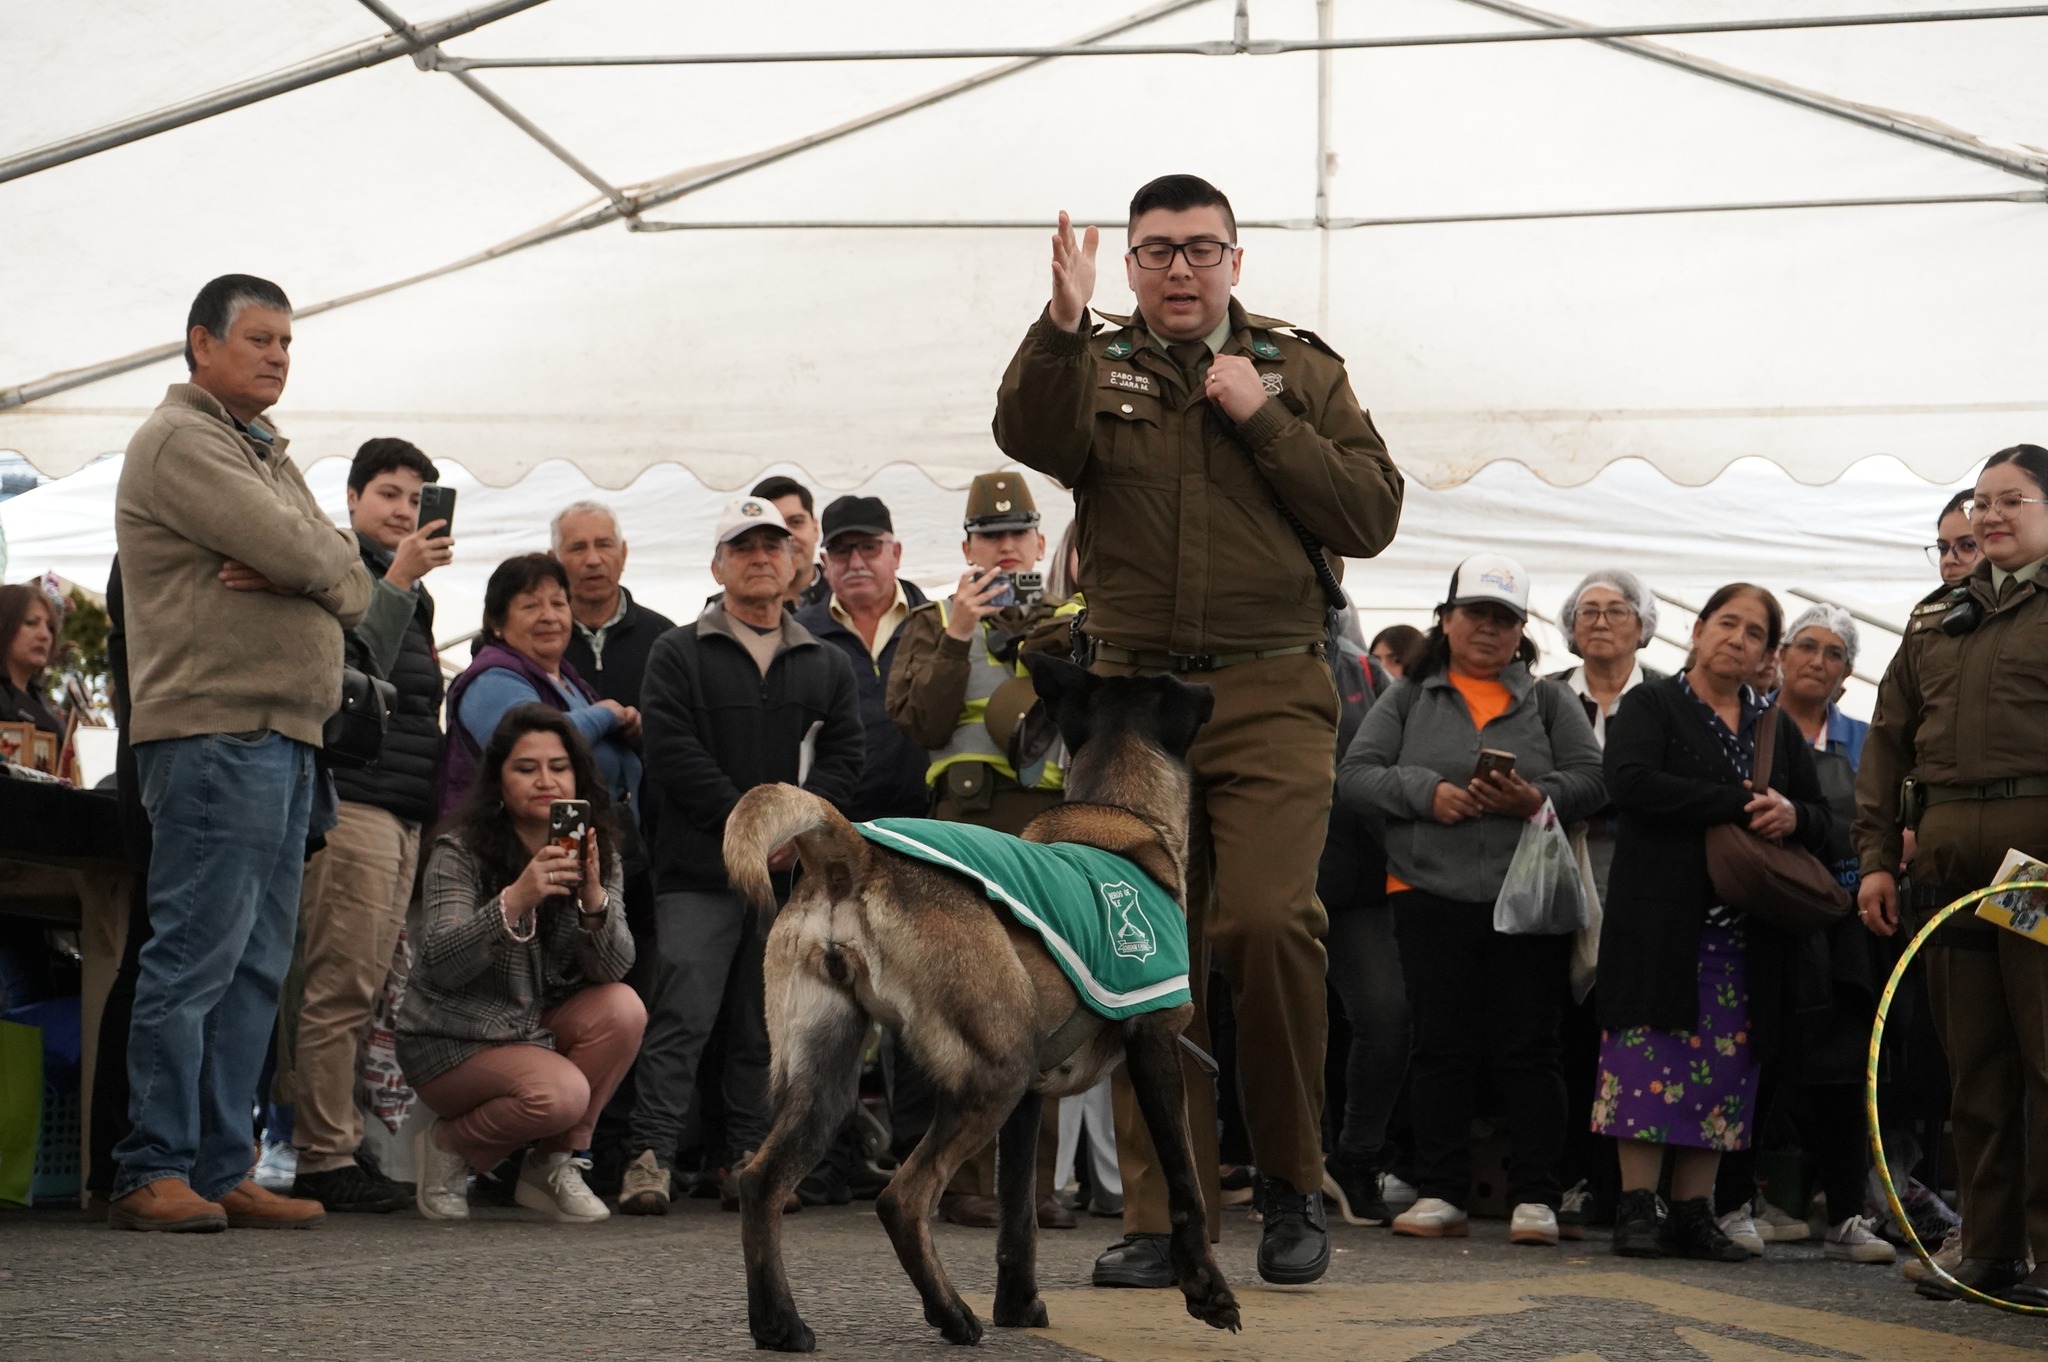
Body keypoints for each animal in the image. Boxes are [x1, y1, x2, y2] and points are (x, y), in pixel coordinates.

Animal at [723, 653, 1239, 1351]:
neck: (1117, 813)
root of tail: (854, 852)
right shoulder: (1155, 1048)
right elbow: (1185, 1184)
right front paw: (1207, 1291)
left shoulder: (1029, 1103)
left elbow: (1018, 1214)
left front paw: (1019, 1306)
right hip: (993, 1074)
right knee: (904, 1197)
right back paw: (950, 1313)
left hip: (830, 1082)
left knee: (761, 1182)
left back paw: (780, 1323)